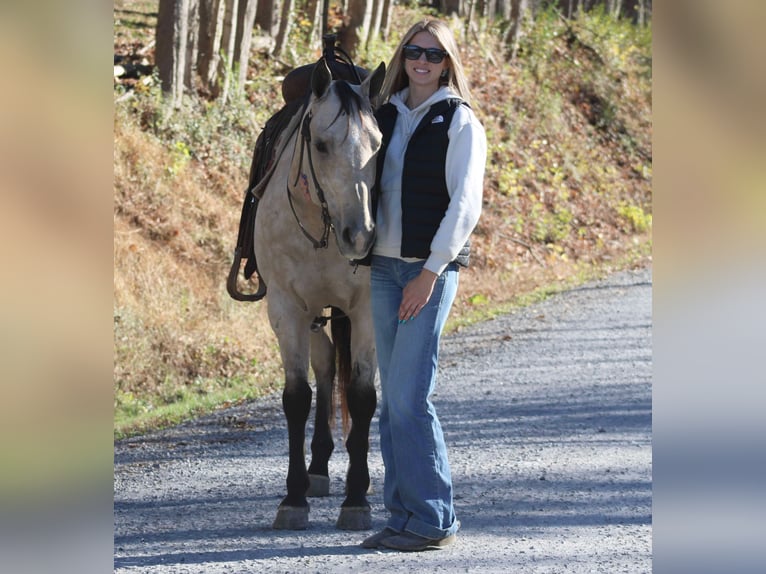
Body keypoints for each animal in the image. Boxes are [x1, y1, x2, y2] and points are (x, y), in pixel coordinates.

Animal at [228, 57, 384, 532]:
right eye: (320, 144)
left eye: (379, 145)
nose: (361, 236)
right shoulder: (288, 310)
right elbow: (297, 397)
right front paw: (294, 496)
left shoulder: (367, 310)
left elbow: (362, 395)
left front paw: (357, 497)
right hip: (315, 313)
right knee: (326, 364)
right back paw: (317, 468)